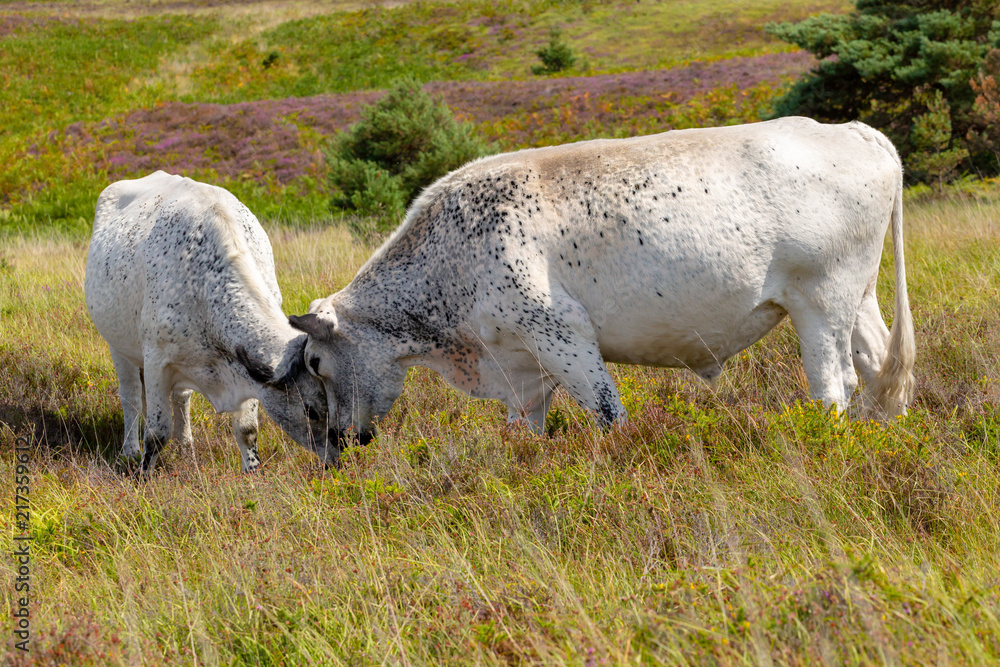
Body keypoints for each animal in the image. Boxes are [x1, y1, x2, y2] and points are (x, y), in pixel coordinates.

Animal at [85, 171, 333, 474]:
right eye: (311, 410)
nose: (338, 452)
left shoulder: (243, 369)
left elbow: (247, 428)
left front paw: (253, 473)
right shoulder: (156, 360)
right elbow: (156, 432)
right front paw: (144, 473)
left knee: (181, 398)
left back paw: (186, 448)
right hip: (118, 347)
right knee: (130, 397)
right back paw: (129, 451)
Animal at [289, 117, 915, 453]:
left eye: (316, 362)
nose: (335, 440)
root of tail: (854, 131)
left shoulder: (562, 336)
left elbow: (608, 414)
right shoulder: (521, 367)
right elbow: (524, 432)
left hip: (819, 301)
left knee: (834, 386)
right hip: (858, 299)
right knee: (881, 367)